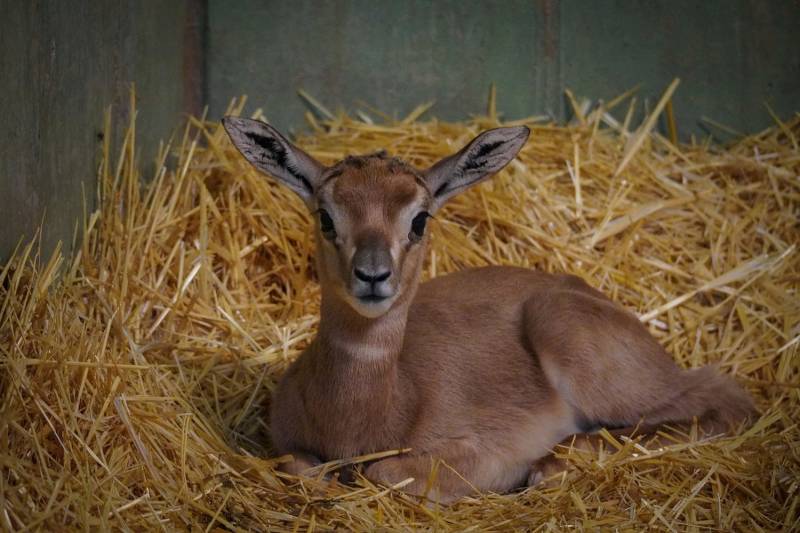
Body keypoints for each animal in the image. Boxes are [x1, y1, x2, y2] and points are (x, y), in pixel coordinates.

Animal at [222, 117, 752, 502]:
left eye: (420, 218)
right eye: (326, 216)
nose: (373, 275)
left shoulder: (484, 452)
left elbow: (383, 473)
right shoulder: (288, 445)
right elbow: (301, 468)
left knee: (724, 397)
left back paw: (556, 462)